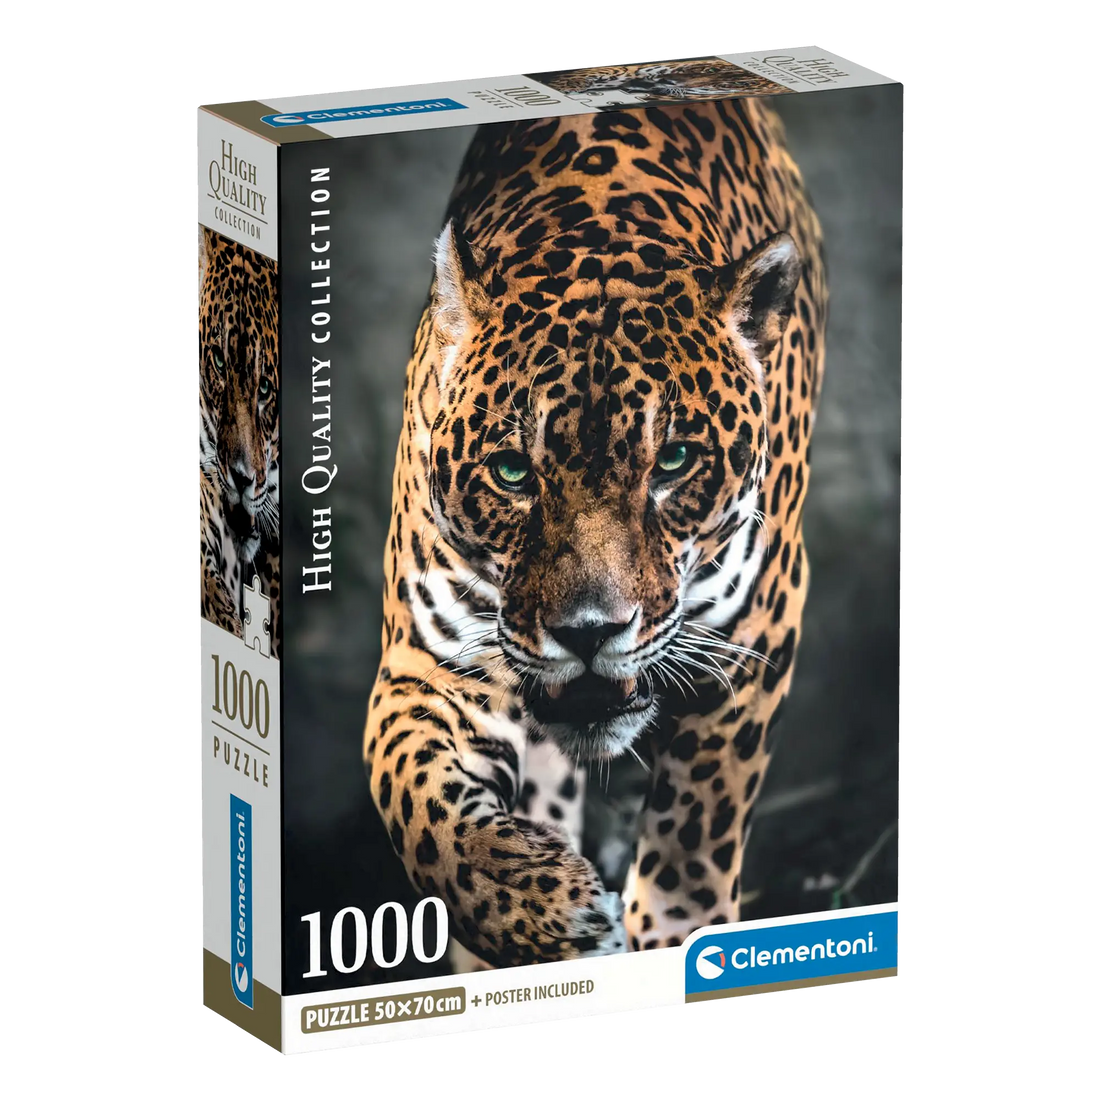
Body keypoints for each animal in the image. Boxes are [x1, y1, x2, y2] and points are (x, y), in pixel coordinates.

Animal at [363, 97, 826, 967]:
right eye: (513, 472)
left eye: (674, 461)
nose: (588, 632)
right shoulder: (429, 666)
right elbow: (422, 808)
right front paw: (544, 911)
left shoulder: (752, 639)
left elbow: (695, 833)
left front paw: (677, 936)